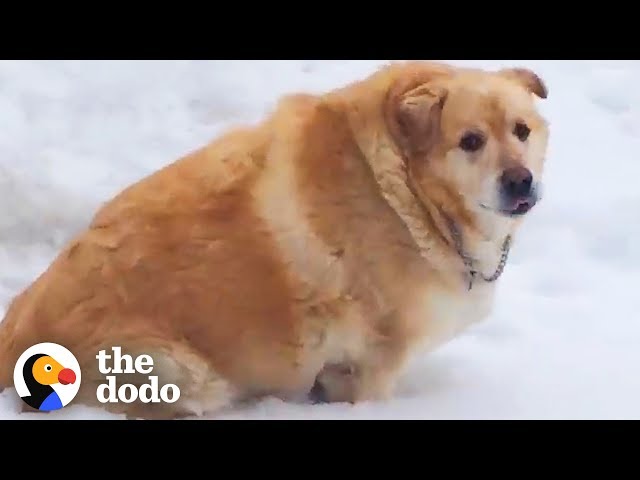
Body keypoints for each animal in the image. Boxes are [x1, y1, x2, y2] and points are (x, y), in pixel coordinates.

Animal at [0, 62, 552, 418]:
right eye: (471, 141)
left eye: (522, 130)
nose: (520, 181)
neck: (407, 190)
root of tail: (12, 344)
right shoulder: (369, 366)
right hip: (180, 372)